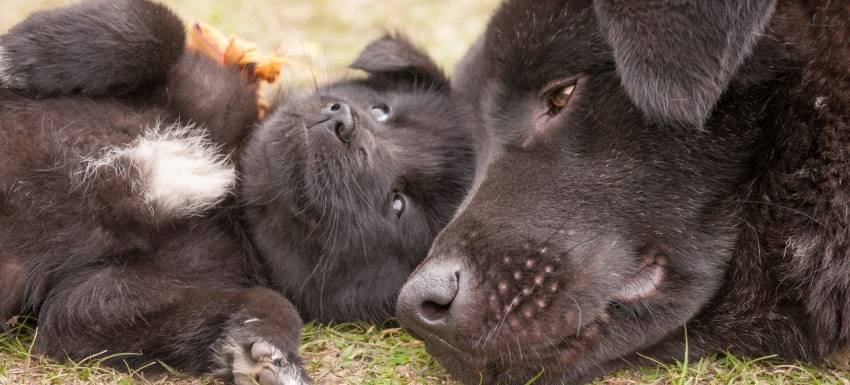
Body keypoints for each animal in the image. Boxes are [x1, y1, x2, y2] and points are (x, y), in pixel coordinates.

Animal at [0, 1, 474, 382]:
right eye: (382, 111)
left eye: (399, 202)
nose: (343, 122)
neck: (232, 196)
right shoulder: (208, 85)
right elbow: (157, 26)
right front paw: (16, 54)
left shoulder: (99, 296)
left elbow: (262, 299)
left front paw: (267, 353)